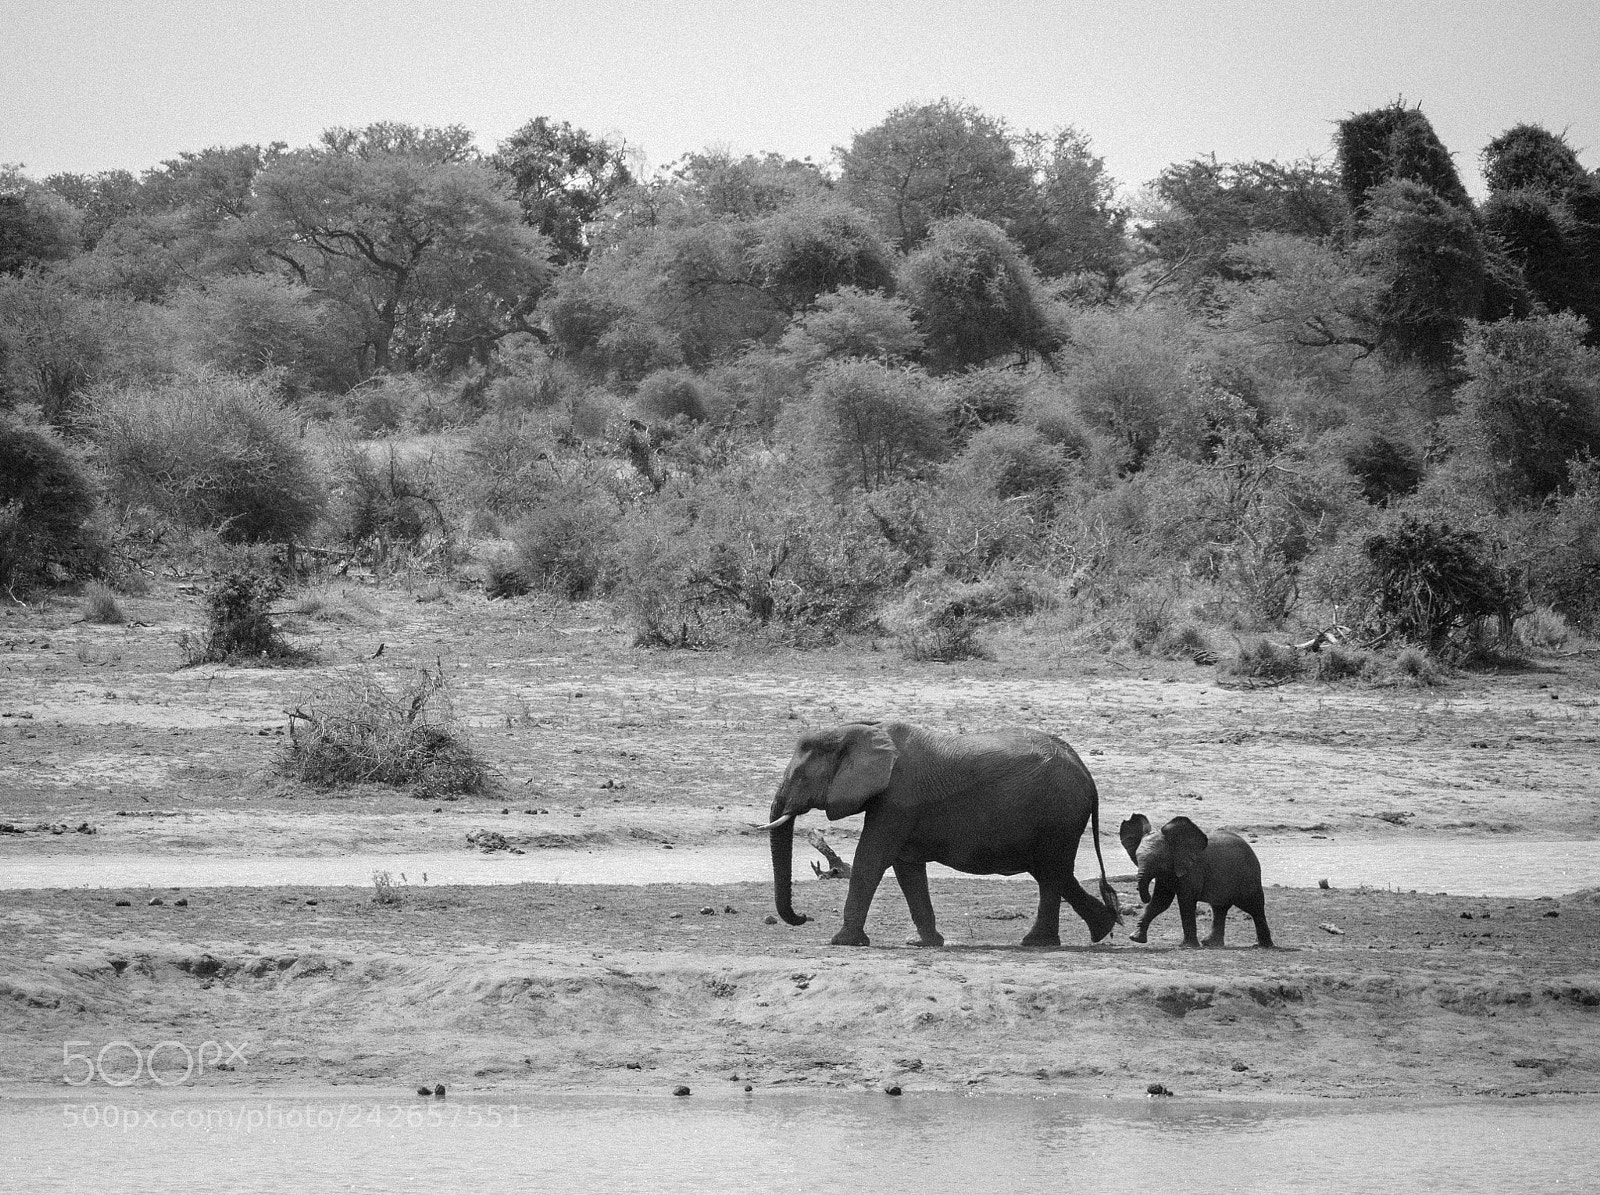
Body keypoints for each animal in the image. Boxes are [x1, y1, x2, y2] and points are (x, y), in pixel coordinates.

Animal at [765, 721, 1120, 948]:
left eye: (801, 776)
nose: (804, 917)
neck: (860, 731)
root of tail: (1086, 773)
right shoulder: (898, 806)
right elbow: (906, 868)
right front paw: (924, 943)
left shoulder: (897, 800)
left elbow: (871, 859)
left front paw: (841, 942)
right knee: (1053, 873)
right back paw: (1090, 931)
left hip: (1059, 814)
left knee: (1051, 872)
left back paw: (1053, 939)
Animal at [1118, 813, 1272, 948]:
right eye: (1137, 858)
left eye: (1159, 860)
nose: (1145, 896)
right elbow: (1160, 902)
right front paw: (1135, 938)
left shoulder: (1192, 869)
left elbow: (1186, 901)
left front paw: (1187, 946)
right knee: (1219, 908)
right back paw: (1211, 944)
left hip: (1248, 876)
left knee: (1254, 907)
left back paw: (1263, 946)